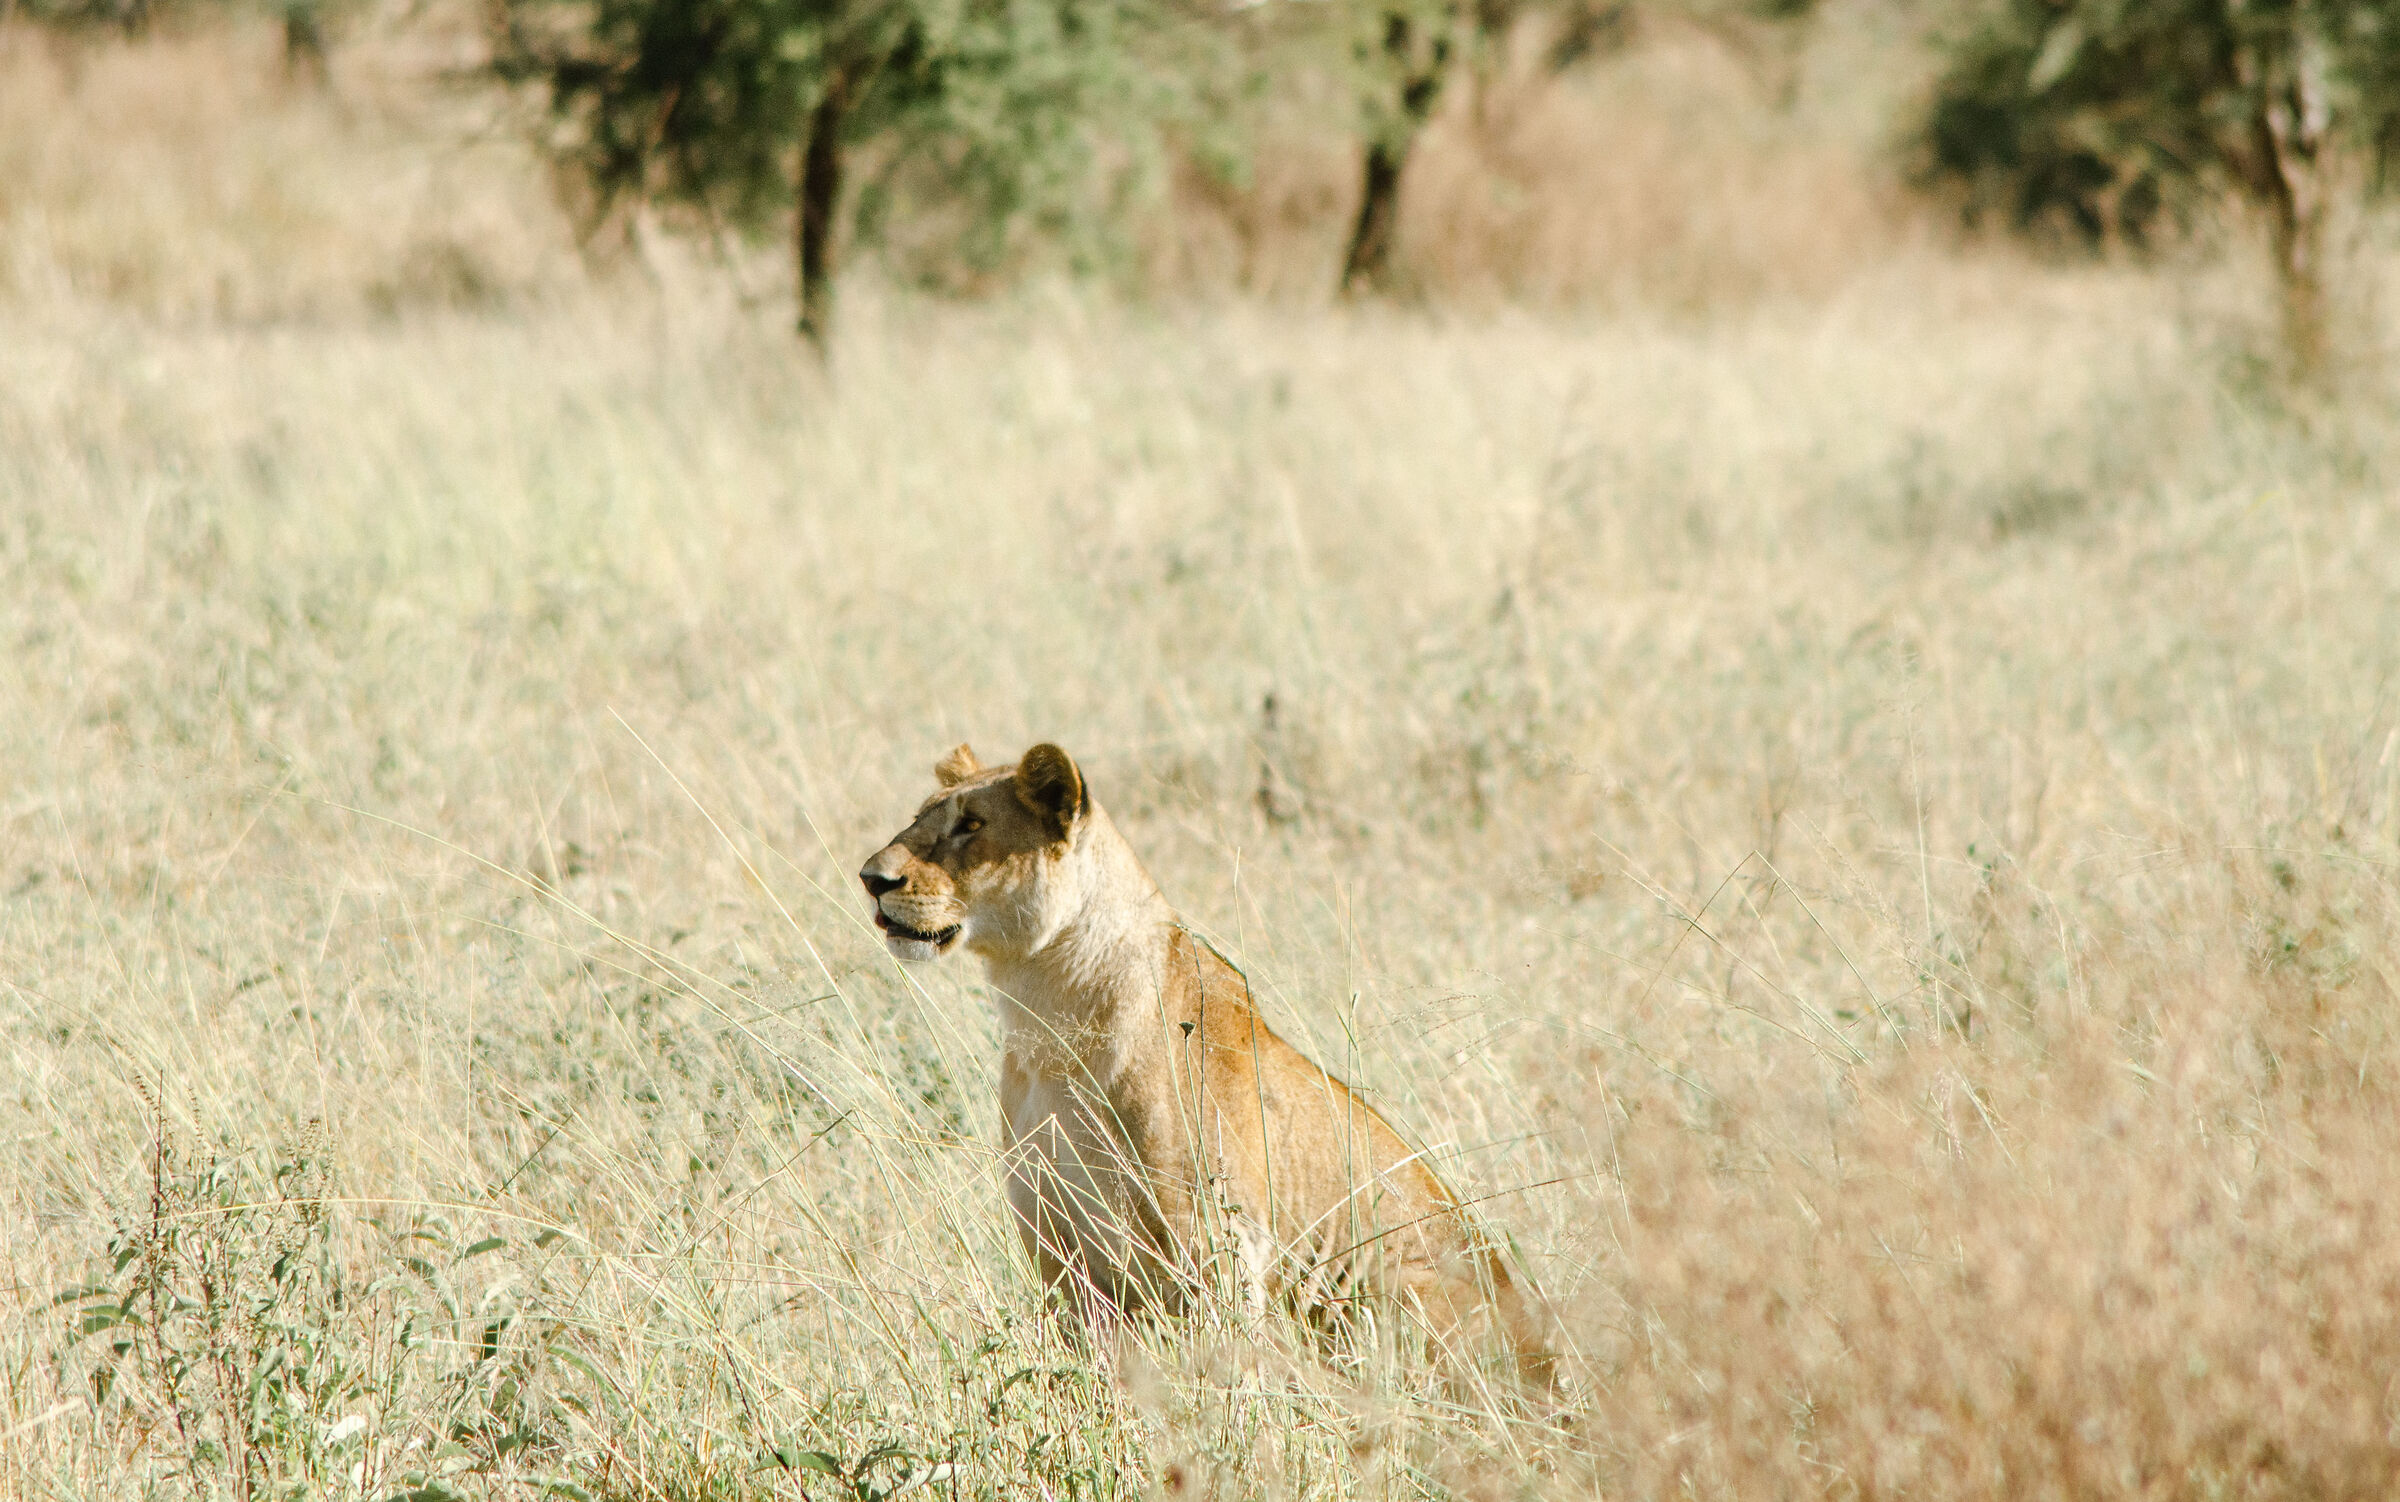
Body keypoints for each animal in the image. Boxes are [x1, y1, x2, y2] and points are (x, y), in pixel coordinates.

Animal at [859, 742, 1557, 1389]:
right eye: (919, 817)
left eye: (971, 825)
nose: (871, 878)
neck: (1043, 1012)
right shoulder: (1054, 1244)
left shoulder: (1214, 1239)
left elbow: (1227, 1371)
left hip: (1390, 1277)